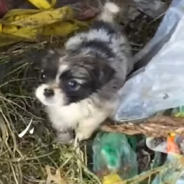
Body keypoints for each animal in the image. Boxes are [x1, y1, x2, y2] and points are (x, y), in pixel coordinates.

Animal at [34, 1, 133, 143]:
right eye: (43, 76)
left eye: (72, 84)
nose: (48, 91)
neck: (75, 103)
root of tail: (104, 24)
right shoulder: (56, 111)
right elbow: (61, 124)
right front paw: (64, 138)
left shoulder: (103, 108)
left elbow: (88, 122)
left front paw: (81, 134)